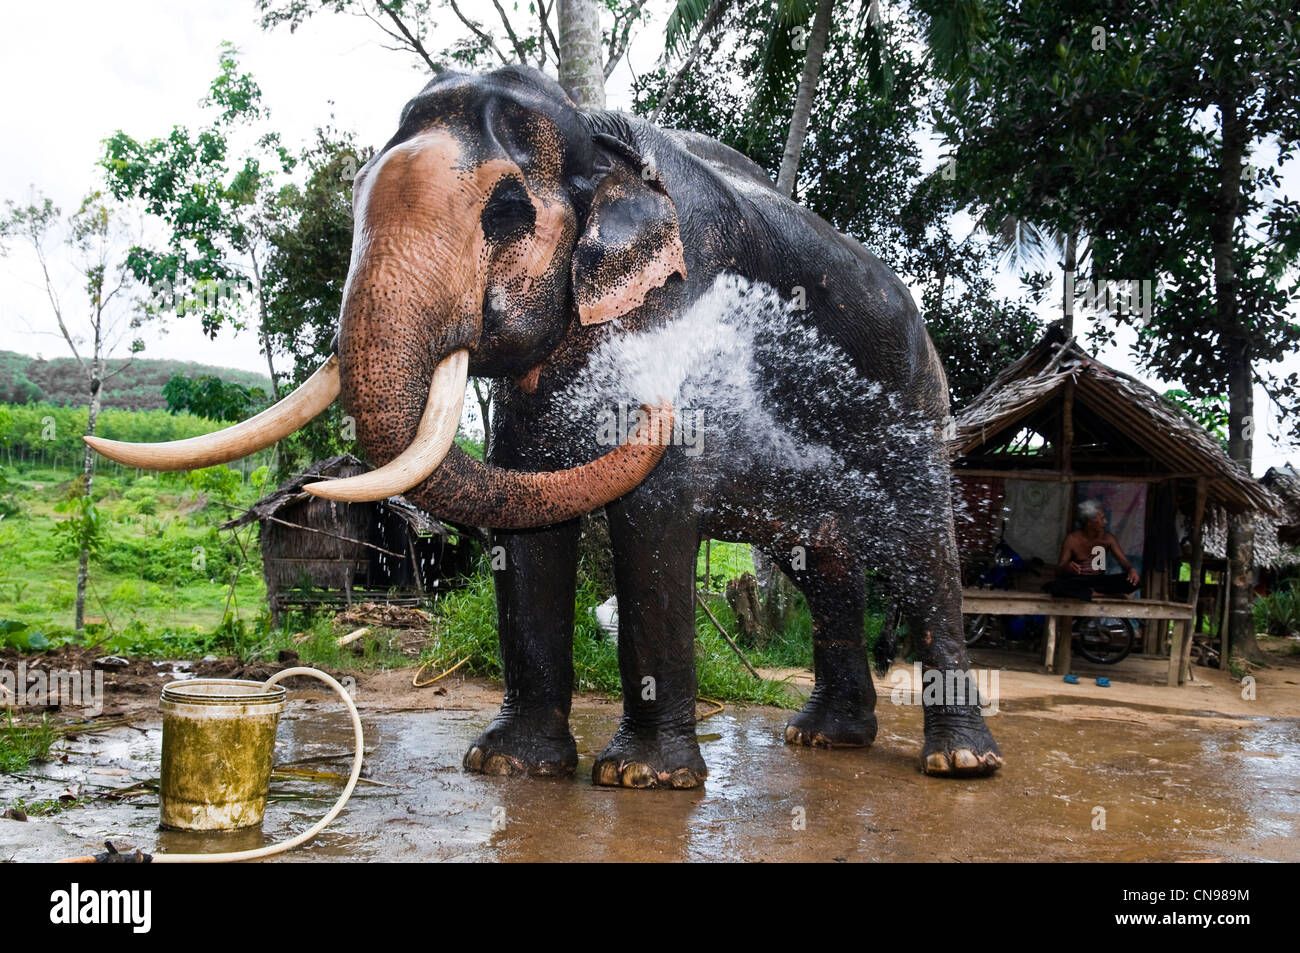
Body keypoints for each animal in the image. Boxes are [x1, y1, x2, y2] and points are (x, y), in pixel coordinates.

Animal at [89, 63, 1003, 785]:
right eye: (352, 201)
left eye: (506, 213)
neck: (591, 130)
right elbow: (527, 519)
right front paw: (508, 765)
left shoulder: (674, 299)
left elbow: (652, 521)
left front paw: (639, 778)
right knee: (825, 563)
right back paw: (822, 740)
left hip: (915, 408)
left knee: (924, 553)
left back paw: (960, 761)